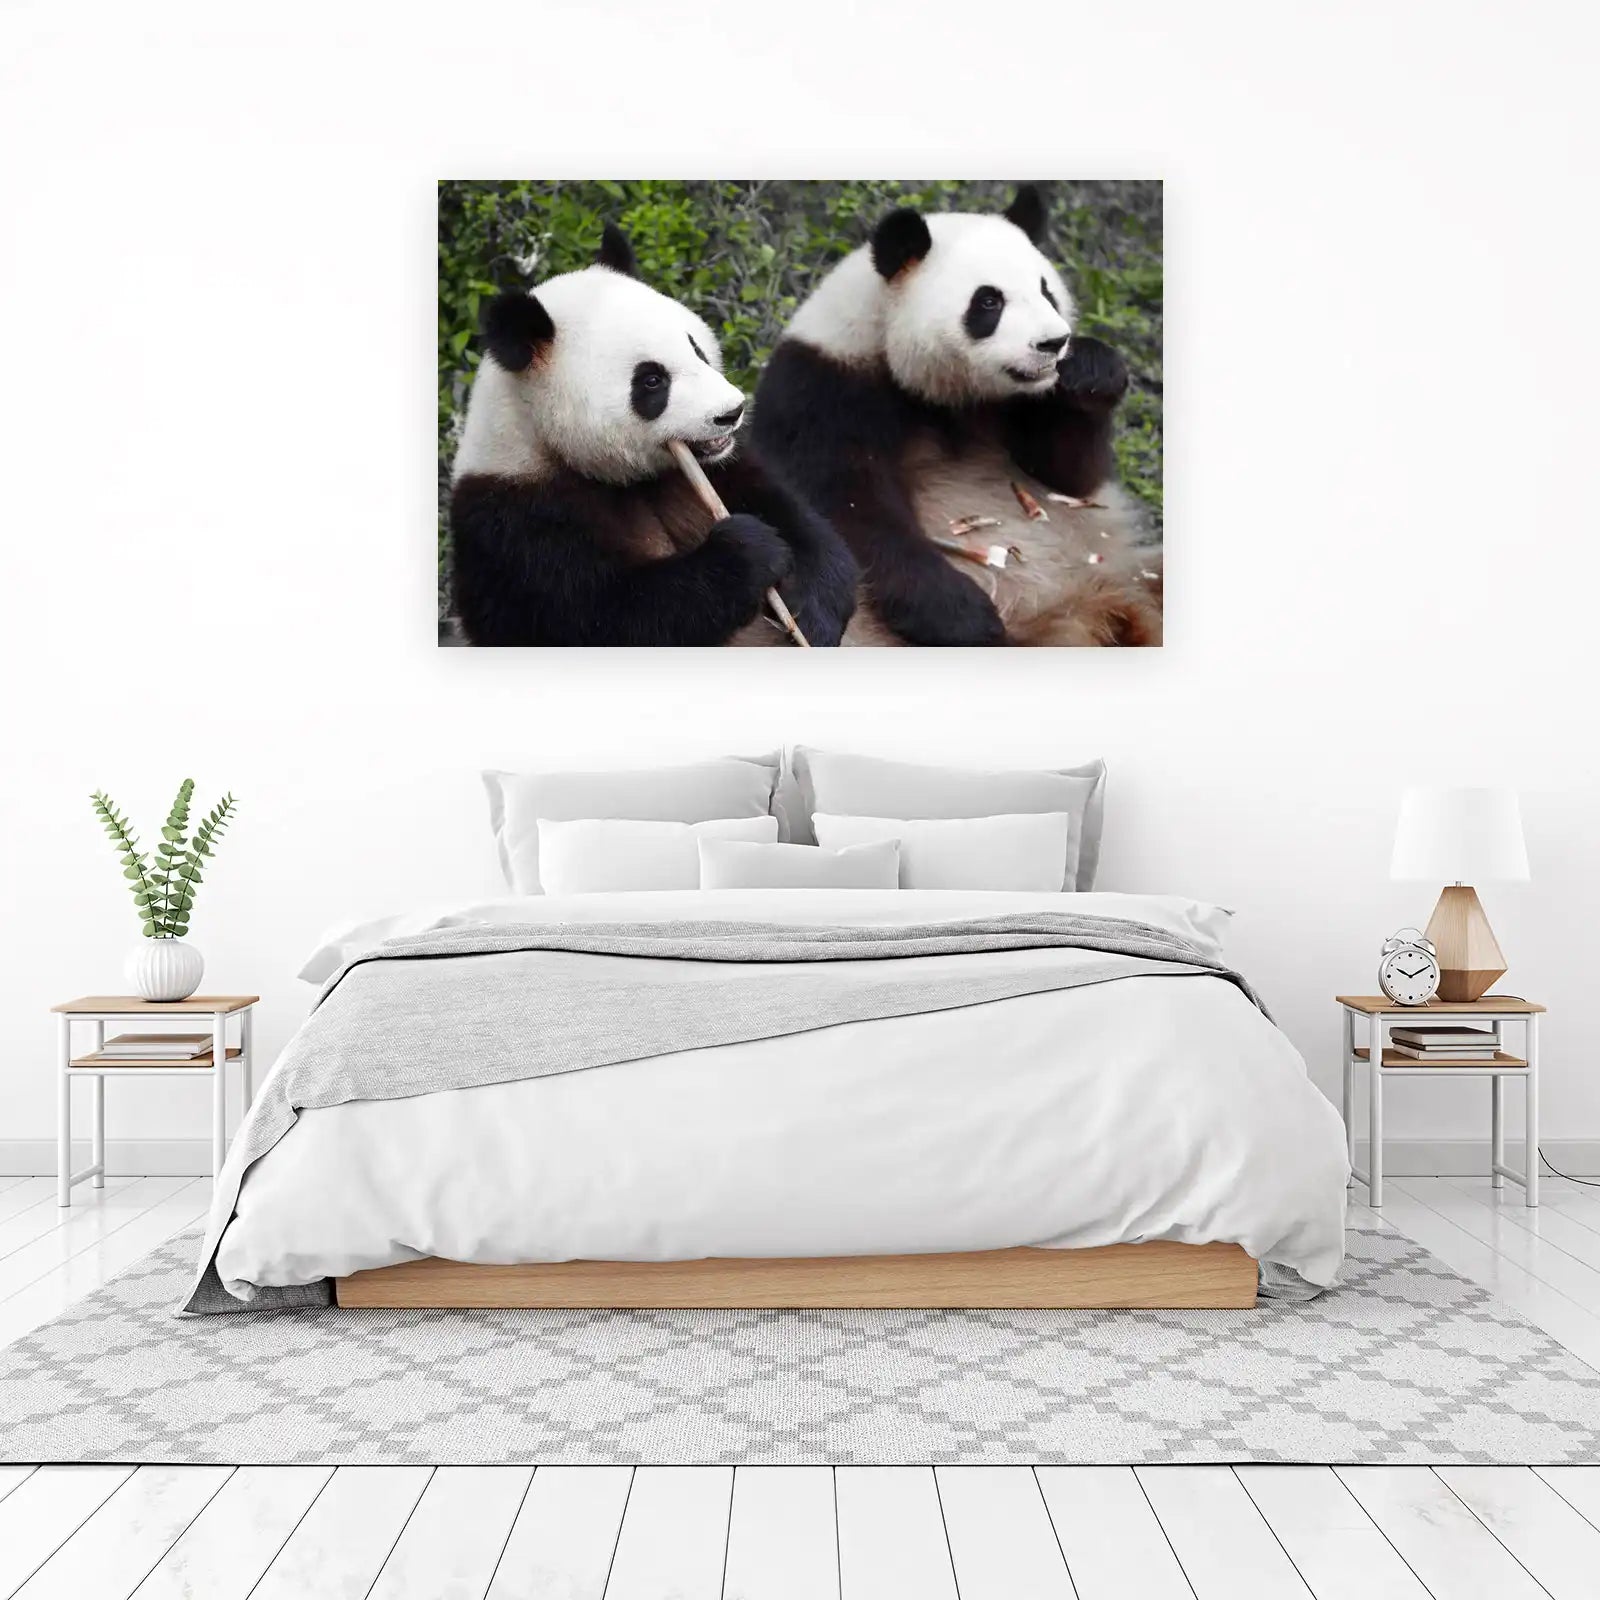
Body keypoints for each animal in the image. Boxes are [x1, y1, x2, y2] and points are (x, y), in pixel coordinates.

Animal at [450, 225, 858, 647]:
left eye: (697, 349)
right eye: (651, 380)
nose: (731, 412)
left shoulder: (717, 471)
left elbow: (799, 523)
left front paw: (810, 614)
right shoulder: (517, 529)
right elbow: (610, 617)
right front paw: (749, 550)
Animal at [752, 187, 1161, 647]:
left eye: (1046, 292)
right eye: (989, 301)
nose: (1053, 343)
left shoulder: (1021, 405)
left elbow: (1070, 480)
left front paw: (1092, 370)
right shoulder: (823, 394)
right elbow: (850, 513)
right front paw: (965, 617)